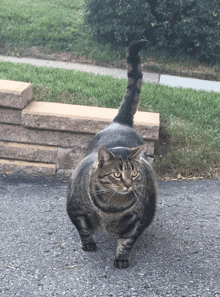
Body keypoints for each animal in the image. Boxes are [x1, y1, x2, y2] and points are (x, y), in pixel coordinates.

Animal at [66, 39, 157, 268]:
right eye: (117, 174)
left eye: (134, 173)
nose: (128, 184)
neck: (111, 208)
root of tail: (120, 122)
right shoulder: (74, 209)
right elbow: (83, 229)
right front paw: (89, 244)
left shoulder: (140, 220)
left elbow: (127, 240)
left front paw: (122, 258)